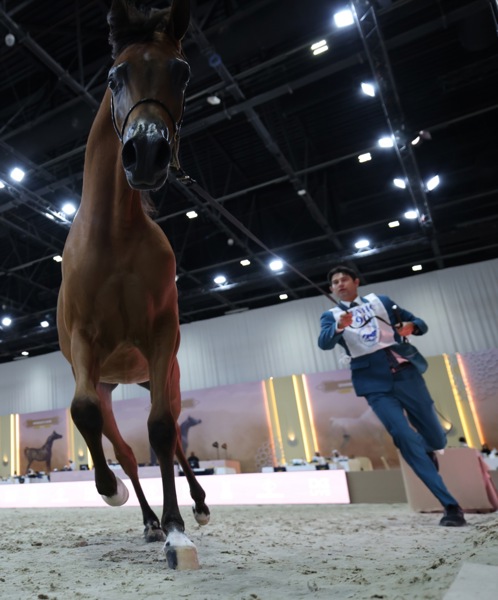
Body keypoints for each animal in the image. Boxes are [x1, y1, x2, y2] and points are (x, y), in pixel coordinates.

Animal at [56, 0, 209, 570]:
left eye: (182, 72)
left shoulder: (161, 335)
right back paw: (144, 517)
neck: (114, 235)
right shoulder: (85, 344)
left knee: (175, 437)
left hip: (164, 372)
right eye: (113, 75)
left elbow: (162, 429)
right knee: (117, 440)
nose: (146, 153)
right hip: (107, 378)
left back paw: (197, 505)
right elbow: (88, 418)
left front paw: (177, 532)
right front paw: (112, 491)